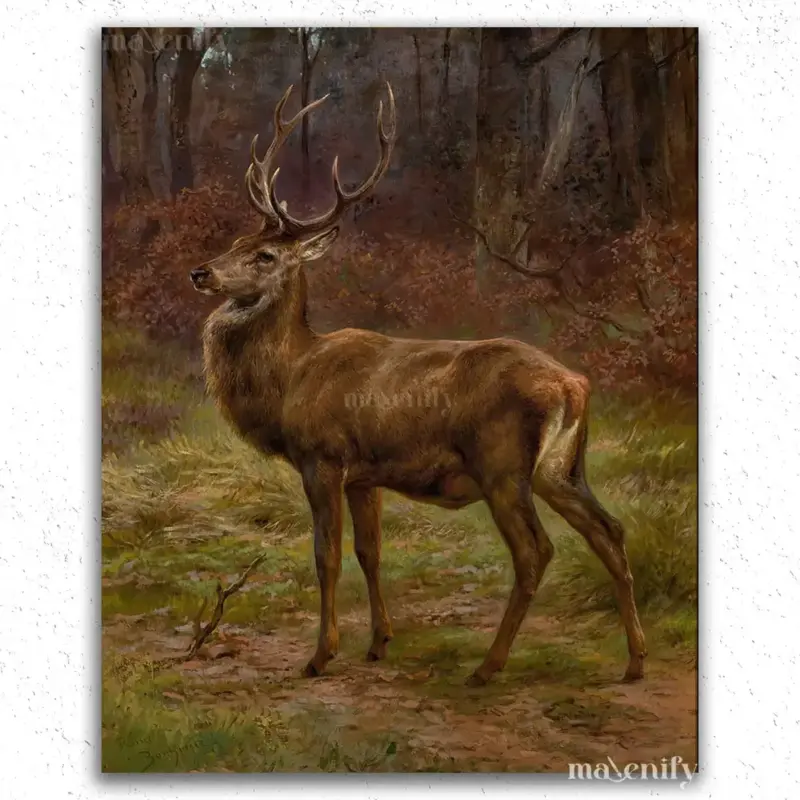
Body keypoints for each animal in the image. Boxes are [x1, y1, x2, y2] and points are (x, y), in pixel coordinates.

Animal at [189, 83, 647, 686]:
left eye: (263, 255)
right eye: (236, 240)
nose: (201, 272)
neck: (293, 377)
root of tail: (573, 385)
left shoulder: (322, 457)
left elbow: (326, 555)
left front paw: (320, 655)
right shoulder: (364, 475)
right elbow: (370, 552)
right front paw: (379, 642)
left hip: (502, 465)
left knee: (536, 552)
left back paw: (488, 666)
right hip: (562, 468)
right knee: (610, 532)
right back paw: (635, 661)